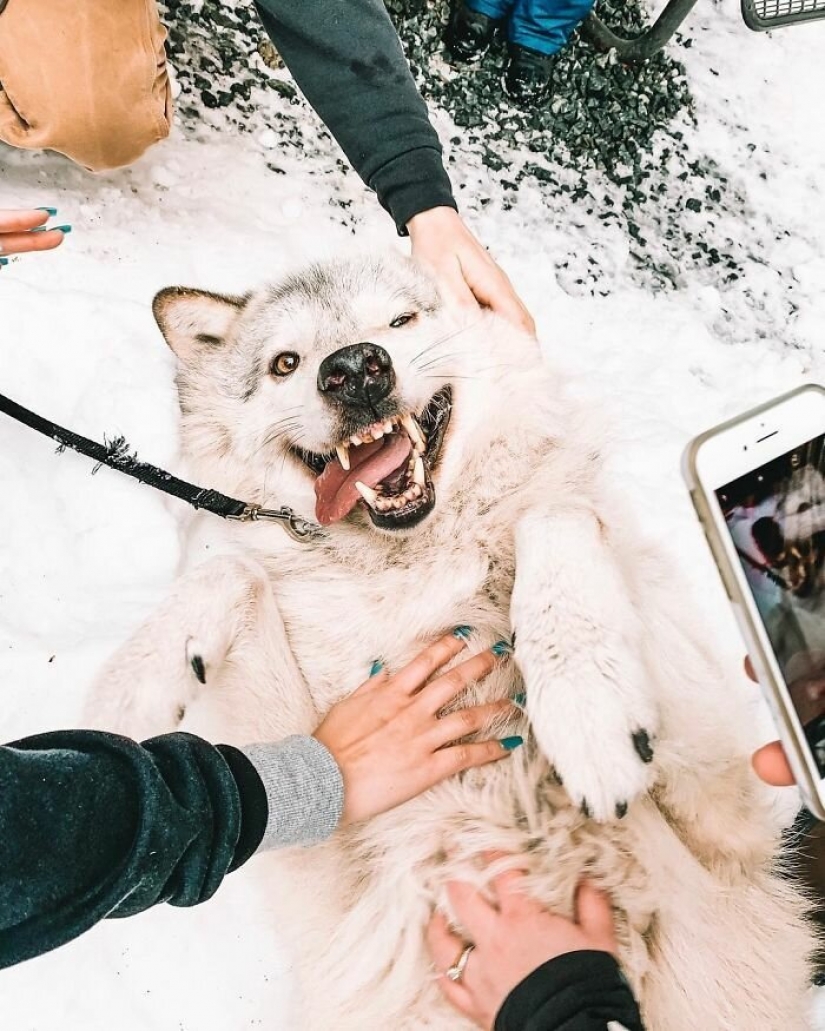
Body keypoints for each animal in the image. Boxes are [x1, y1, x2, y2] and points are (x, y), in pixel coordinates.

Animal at [87, 252, 815, 1030]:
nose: (354, 368)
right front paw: (129, 688)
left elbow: (552, 511)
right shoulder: (330, 859)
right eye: (286, 363)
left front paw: (587, 714)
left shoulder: (717, 815)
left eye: (400, 321)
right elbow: (234, 570)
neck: (416, 575)